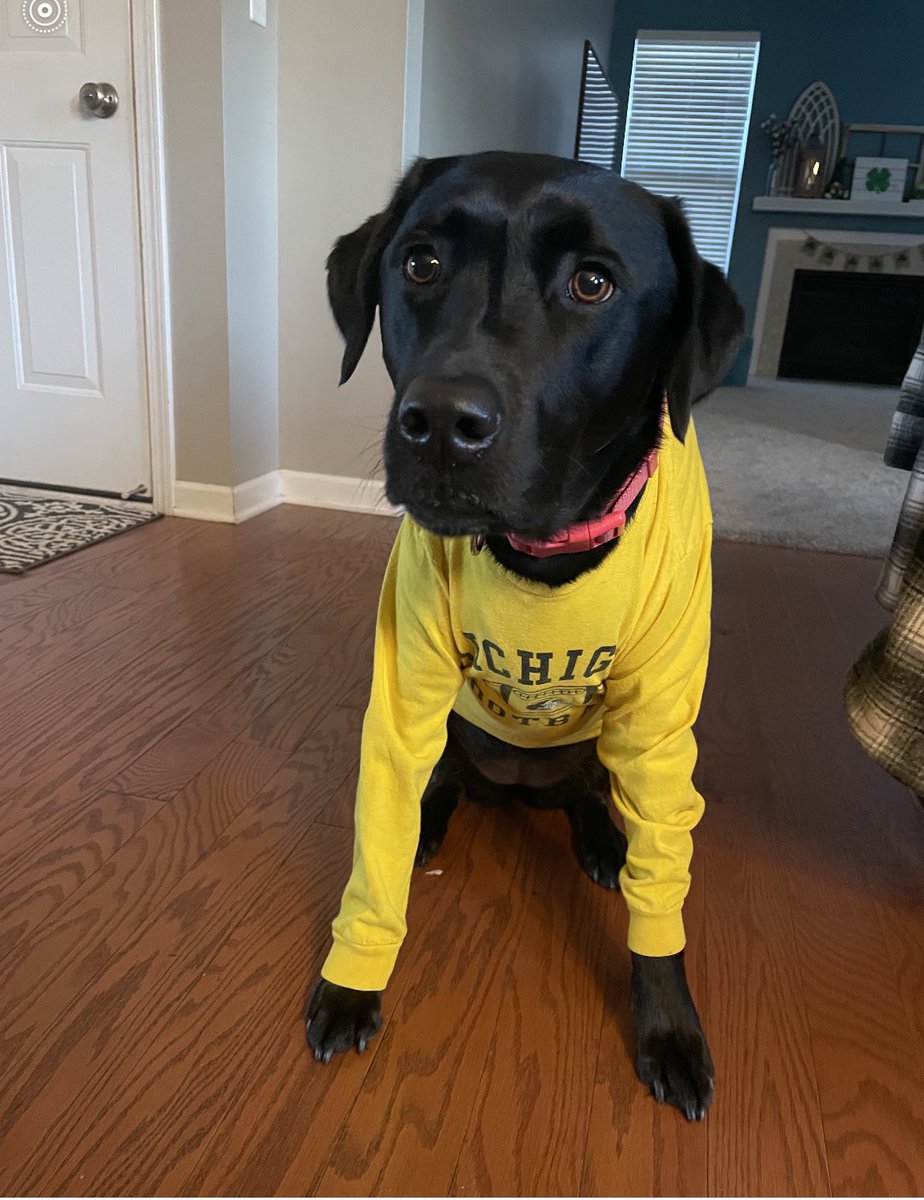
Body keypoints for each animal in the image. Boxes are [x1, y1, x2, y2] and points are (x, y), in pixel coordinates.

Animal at [306, 154, 739, 1118]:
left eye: (593, 283)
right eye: (421, 263)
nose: (440, 423)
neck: (543, 555)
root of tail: (512, 786)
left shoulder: (660, 728)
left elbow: (665, 879)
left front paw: (669, 1021)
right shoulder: (405, 697)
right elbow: (376, 841)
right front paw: (354, 974)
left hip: (600, 749)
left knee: (586, 792)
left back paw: (604, 839)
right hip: (452, 743)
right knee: (439, 787)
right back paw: (436, 821)